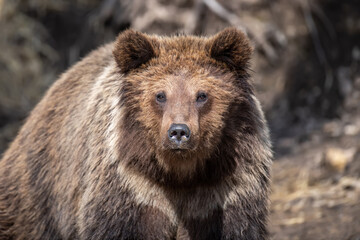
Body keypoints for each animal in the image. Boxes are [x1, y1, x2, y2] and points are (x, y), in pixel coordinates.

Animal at [0, 28, 270, 240]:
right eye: (160, 95)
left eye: (201, 95)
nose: (179, 132)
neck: (181, 174)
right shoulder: (132, 187)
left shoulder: (224, 190)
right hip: (40, 190)